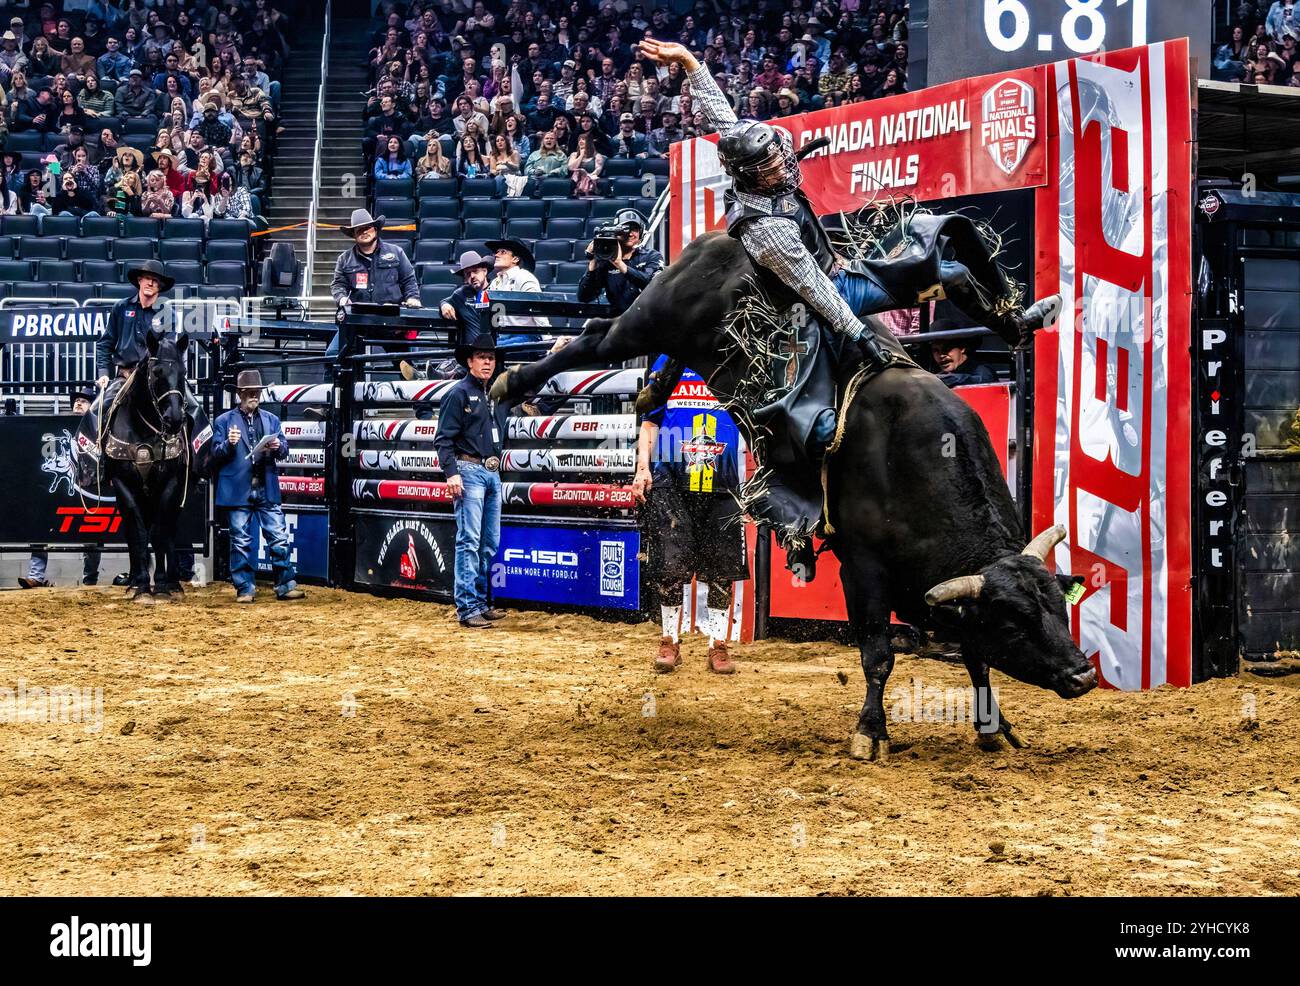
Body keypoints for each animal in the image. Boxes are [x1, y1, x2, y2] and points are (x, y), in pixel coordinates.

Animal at [493, 231, 1097, 764]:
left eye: (1056, 607)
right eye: (1015, 620)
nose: (1084, 673)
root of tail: (723, 239)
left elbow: (976, 659)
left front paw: (993, 728)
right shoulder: (863, 568)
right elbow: (878, 655)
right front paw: (869, 734)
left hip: (678, 334)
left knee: (640, 350)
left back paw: (651, 392)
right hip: (652, 315)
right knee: (598, 335)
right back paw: (513, 381)